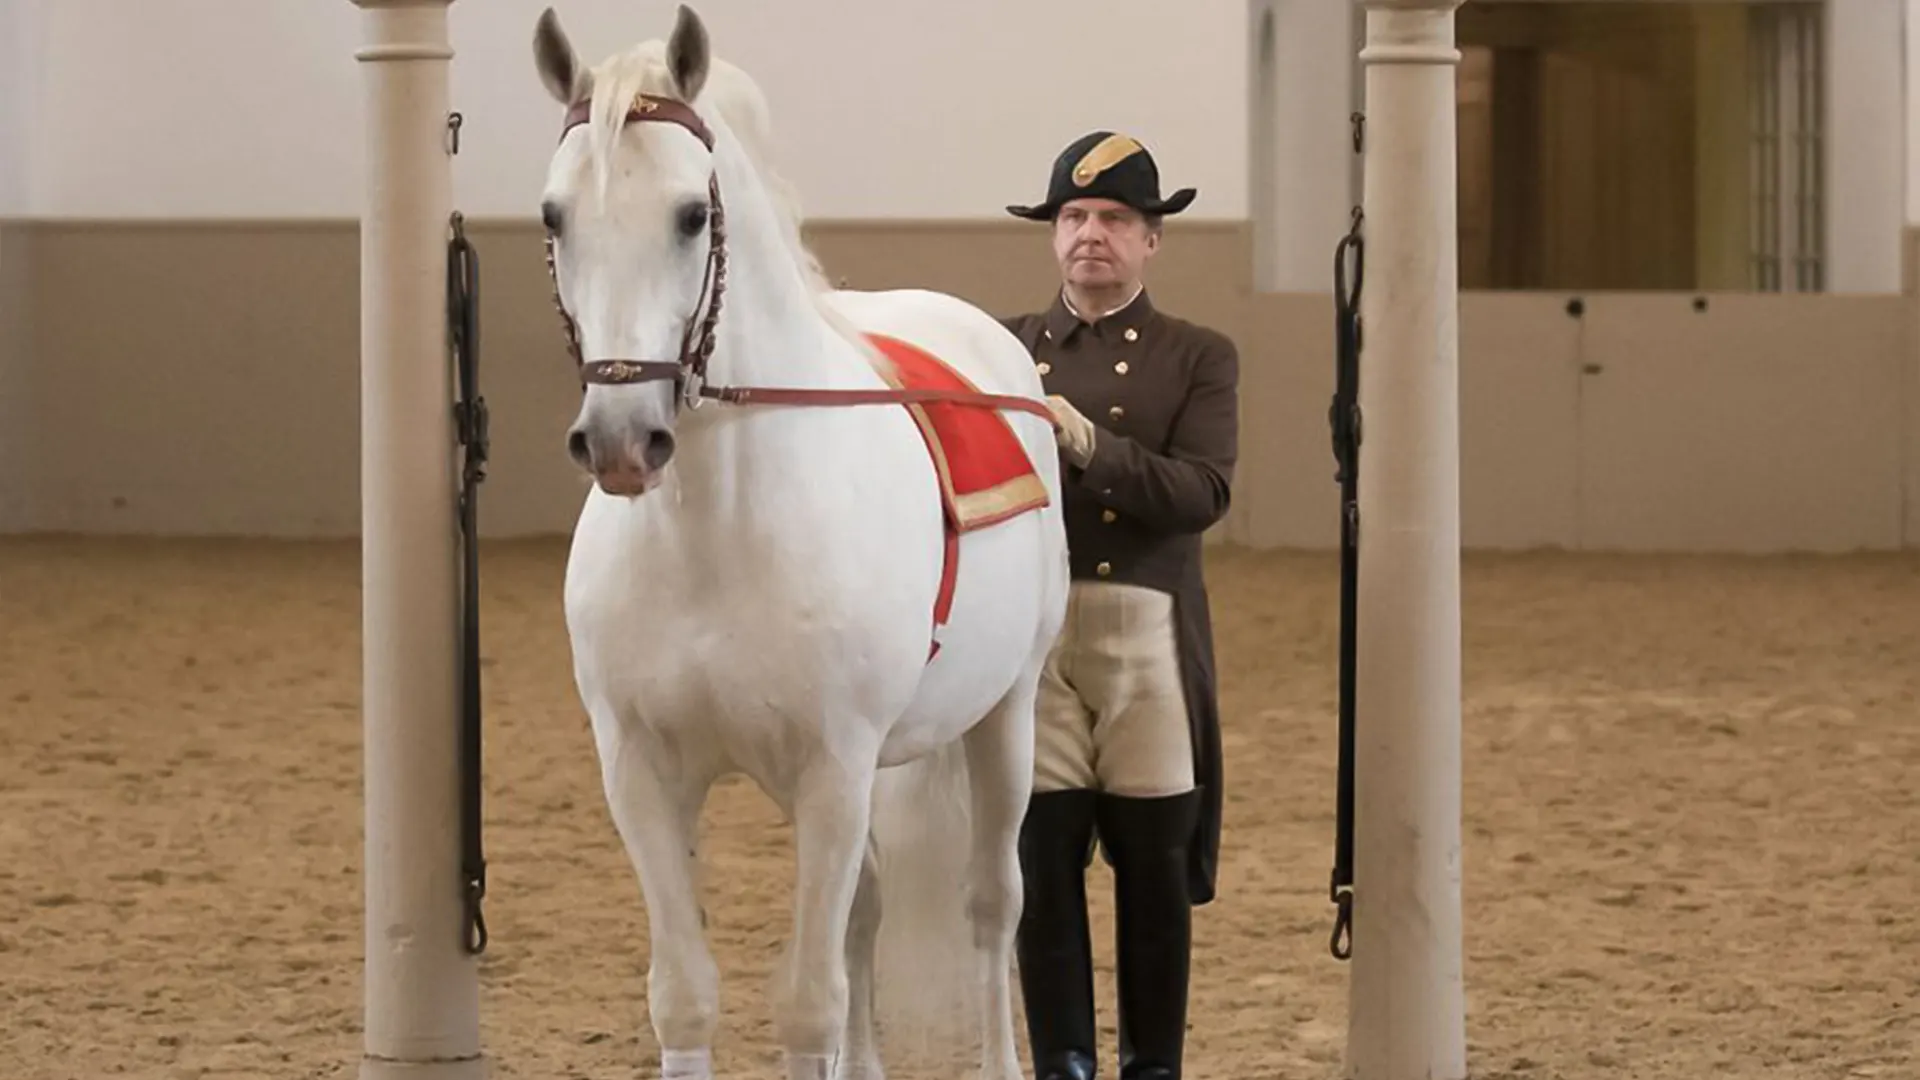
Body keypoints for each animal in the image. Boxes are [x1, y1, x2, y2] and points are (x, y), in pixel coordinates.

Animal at [529, 8, 1067, 1076]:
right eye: (554, 216)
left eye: (692, 215)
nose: (621, 441)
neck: (715, 537)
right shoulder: (641, 773)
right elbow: (685, 995)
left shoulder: (833, 770)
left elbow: (809, 1004)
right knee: (867, 911)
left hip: (1005, 716)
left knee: (992, 906)